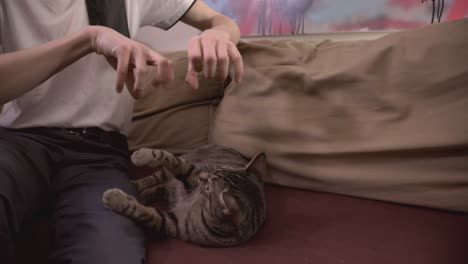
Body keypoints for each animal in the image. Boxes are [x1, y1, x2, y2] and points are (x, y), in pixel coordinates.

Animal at [103, 143, 266, 246]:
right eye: (218, 169)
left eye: (208, 188)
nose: (203, 176)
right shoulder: (191, 178)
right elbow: (174, 161)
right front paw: (143, 155)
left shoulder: (174, 224)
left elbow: (145, 213)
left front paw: (116, 199)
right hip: (167, 172)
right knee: (154, 177)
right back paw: (134, 182)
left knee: (159, 188)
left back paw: (139, 193)